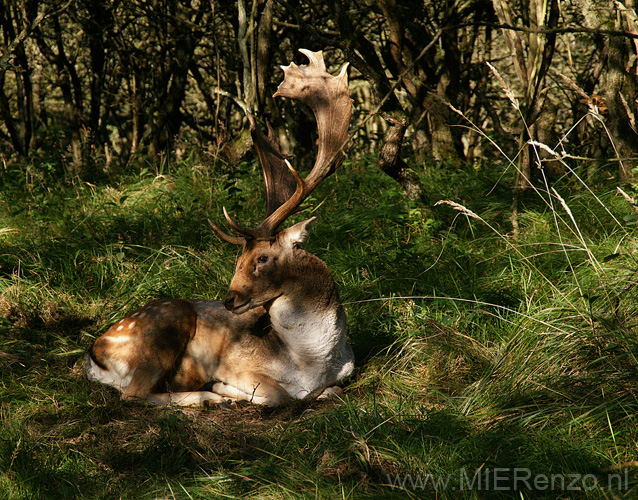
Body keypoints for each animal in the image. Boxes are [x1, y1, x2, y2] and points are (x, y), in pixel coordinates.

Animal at [85, 48, 356, 406]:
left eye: (262, 259)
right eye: (238, 259)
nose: (229, 300)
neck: (313, 364)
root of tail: (93, 354)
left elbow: (334, 391)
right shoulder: (239, 365)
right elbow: (280, 395)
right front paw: (227, 390)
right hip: (165, 324)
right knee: (133, 394)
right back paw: (210, 397)